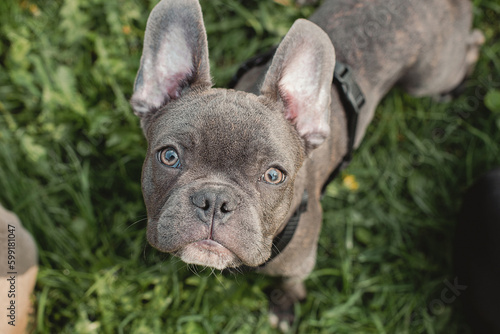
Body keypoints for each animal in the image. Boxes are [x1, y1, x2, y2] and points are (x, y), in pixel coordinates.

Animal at [131, 0, 482, 328]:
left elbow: (290, 283)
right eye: (169, 157)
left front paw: (283, 306)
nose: (215, 201)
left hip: (428, 79)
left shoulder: (301, 262)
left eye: (274, 175)